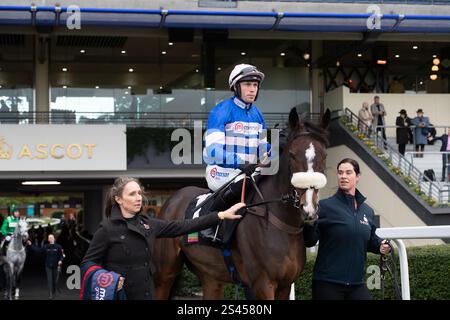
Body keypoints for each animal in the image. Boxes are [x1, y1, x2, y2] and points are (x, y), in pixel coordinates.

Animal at [153, 108, 328, 300]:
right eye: (292, 155)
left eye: (324, 155)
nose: (308, 208)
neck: (280, 222)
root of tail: (172, 200)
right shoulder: (262, 283)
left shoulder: (285, 285)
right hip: (165, 274)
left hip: (210, 276)